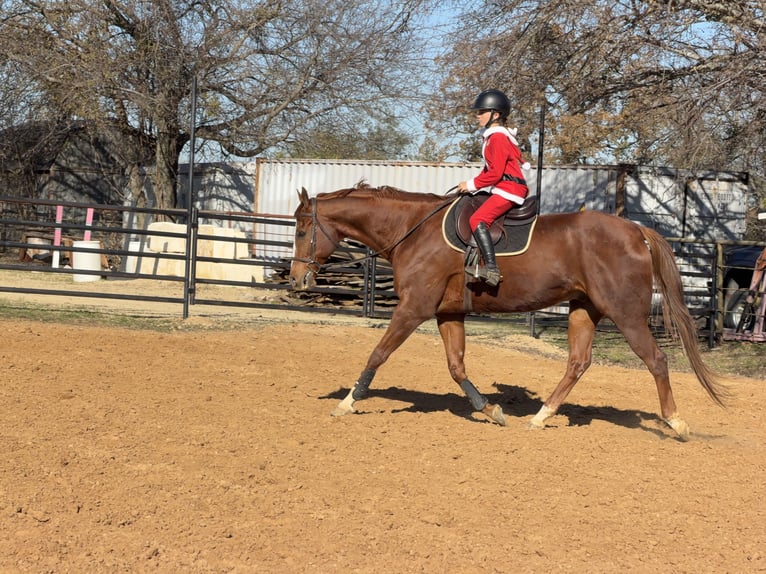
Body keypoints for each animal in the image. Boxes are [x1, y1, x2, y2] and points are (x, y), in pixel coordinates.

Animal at [288, 183, 728, 440]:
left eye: (301, 230)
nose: (296, 280)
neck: (414, 230)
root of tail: (635, 230)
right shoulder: (448, 314)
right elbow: (456, 367)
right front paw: (491, 410)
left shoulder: (413, 309)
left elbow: (378, 354)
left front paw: (348, 402)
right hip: (584, 309)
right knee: (578, 362)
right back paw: (542, 416)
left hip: (626, 315)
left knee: (655, 360)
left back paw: (676, 423)